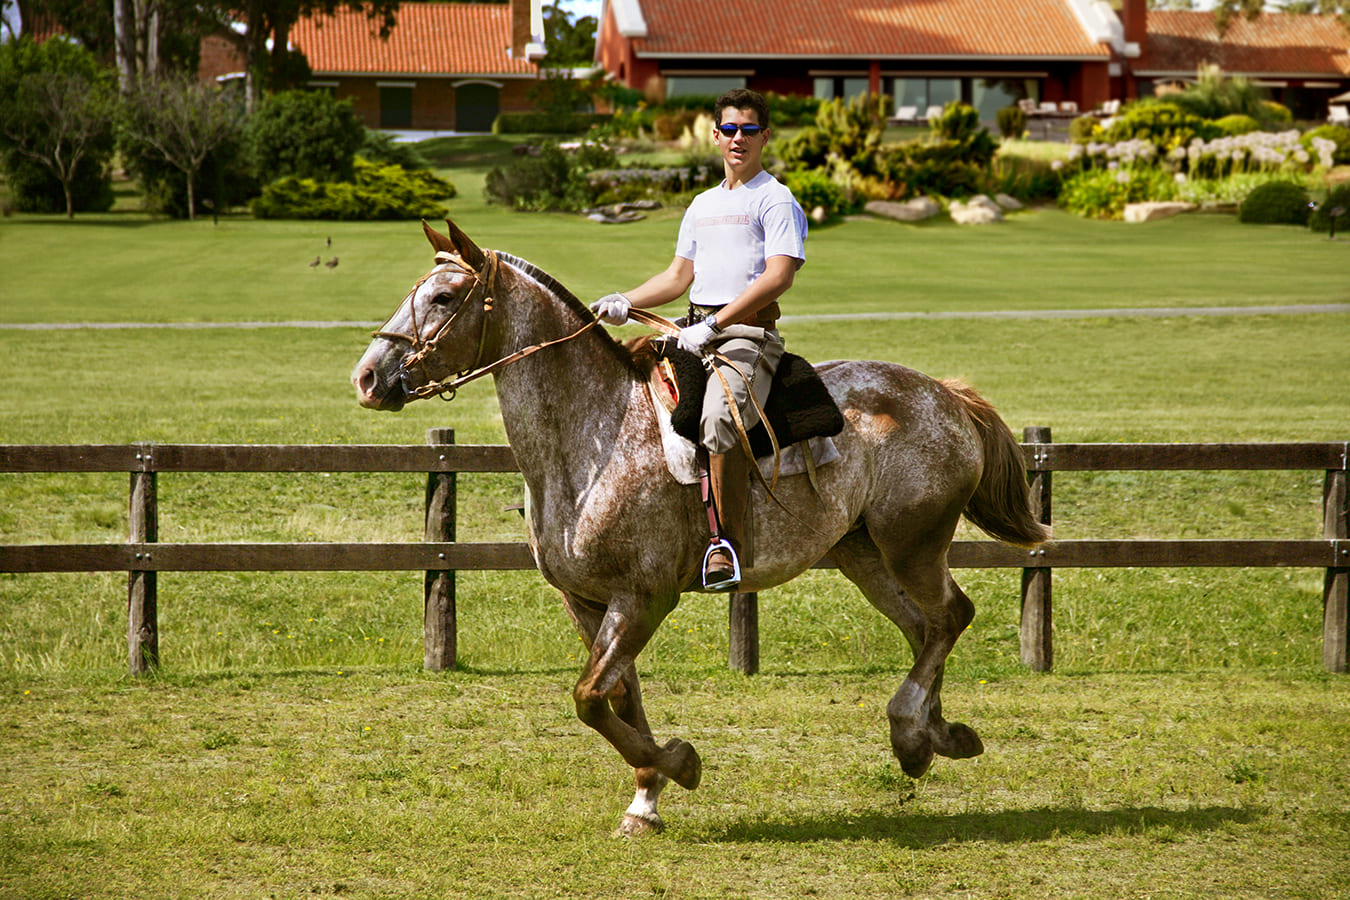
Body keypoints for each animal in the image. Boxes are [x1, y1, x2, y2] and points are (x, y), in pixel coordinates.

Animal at [353, 218, 1047, 836]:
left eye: (443, 297)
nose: (367, 377)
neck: (596, 434)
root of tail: (946, 394)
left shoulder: (645, 597)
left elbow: (589, 698)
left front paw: (680, 765)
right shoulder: (587, 601)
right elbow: (617, 697)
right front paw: (644, 801)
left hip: (912, 544)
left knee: (950, 615)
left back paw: (910, 730)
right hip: (864, 555)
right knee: (923, 627)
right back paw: (936, 735)